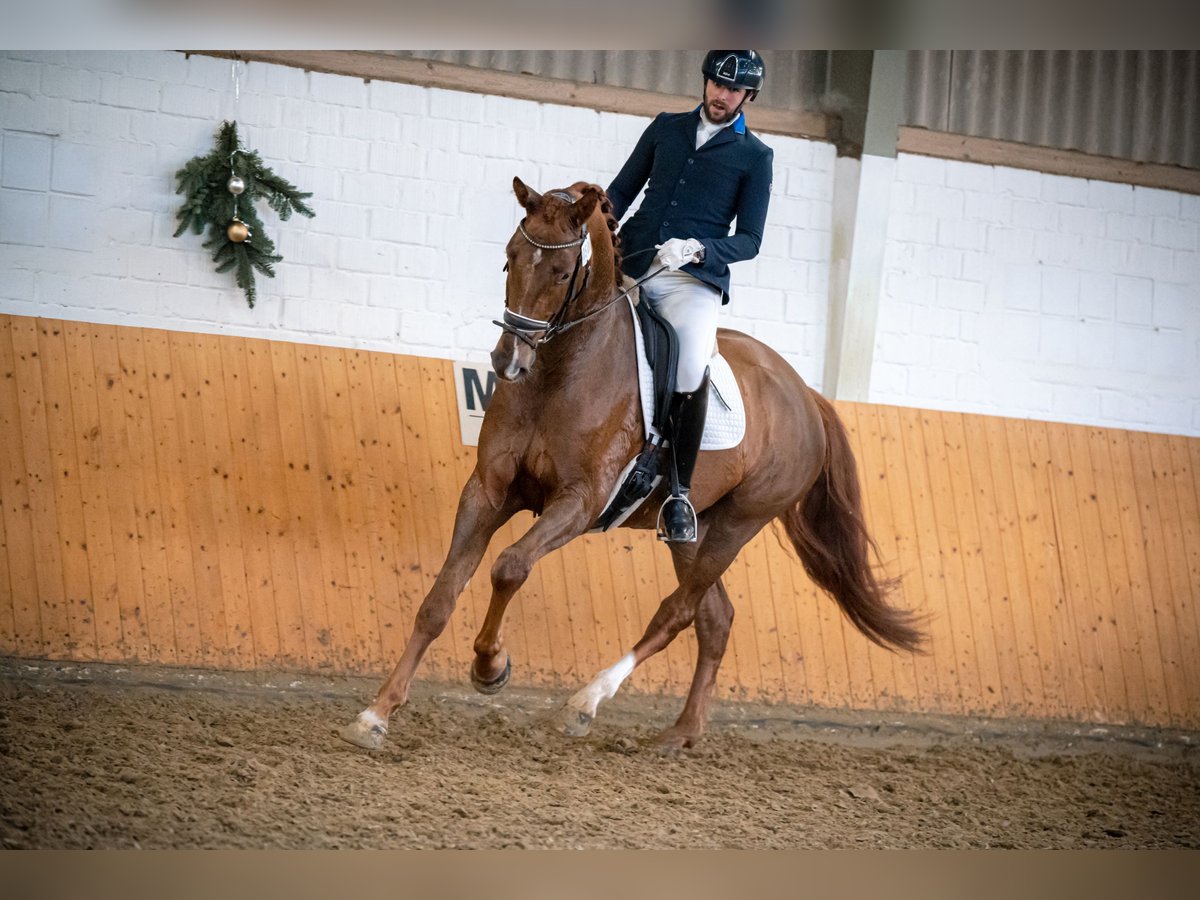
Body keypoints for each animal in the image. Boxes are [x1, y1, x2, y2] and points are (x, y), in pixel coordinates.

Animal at [343, 180, 921, 748]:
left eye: (561, 272)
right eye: (509, 259)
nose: (509, 361)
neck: (562, 367)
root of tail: (805, 394)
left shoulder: (579, 502)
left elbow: (510, 567)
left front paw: (491, 668)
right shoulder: (488, 489)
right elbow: (439, 599)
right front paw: (377, 713)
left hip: (741, 521)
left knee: (679, 611)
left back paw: (585, 703)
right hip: (695, 527)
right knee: (715, 616)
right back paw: (681, 733)